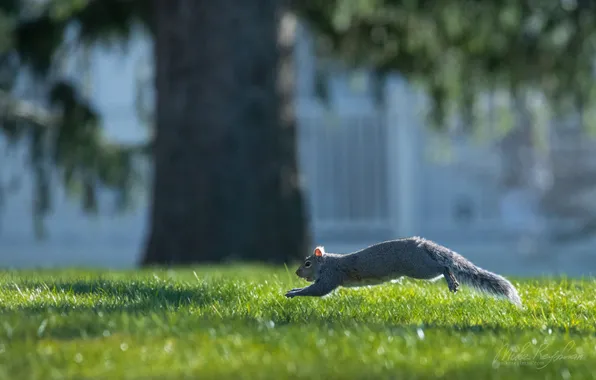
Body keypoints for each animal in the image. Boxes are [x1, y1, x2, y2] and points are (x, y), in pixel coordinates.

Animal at [284, 236, 520, 308]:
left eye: (307, 263)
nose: (296, 272)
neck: (327, 263)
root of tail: (421, 244)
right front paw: (294, 289)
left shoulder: (332, 275)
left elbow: (318, 290)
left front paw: (294, 292)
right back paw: (452, 281)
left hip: (420, 268)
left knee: (442, 267)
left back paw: (451, 280)